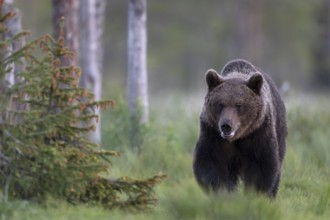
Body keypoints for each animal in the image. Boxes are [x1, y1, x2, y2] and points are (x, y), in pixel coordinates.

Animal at [192, 58, 288, 198]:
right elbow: (210, 160)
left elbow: (261, 165)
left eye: (239, 105)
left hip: (279, 127)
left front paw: (254, 193)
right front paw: (221, 191)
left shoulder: (258, 132)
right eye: (220, 104)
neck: (237, 138)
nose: (226, 125)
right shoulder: (212, 133)